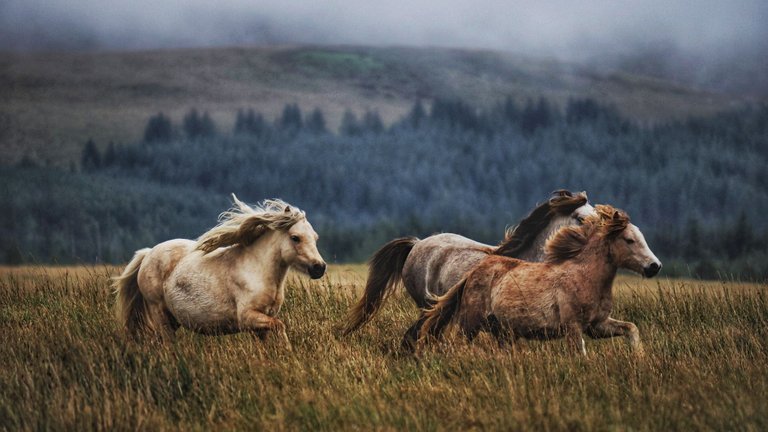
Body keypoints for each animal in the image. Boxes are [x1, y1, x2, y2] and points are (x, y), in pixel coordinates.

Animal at [115, 197, 328, 352]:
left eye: (316, 237)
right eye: (295, 237)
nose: (319, 267)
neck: (257, 271)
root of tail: (147, 253)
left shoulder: (261, 323)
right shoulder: (247, 318)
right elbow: (280, 326)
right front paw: (288, 351)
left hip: (172, 319)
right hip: (159, 313)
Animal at [420, 204, 660, 356]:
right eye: (629, 240)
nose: (654, 266)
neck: (585, 277)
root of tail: (472, 273)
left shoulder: (597, 326)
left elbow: (631, 328)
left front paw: (639, 357)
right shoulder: (573, 327)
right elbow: (580, 354)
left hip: (503, 332)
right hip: (470, 324)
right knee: (457, 344)